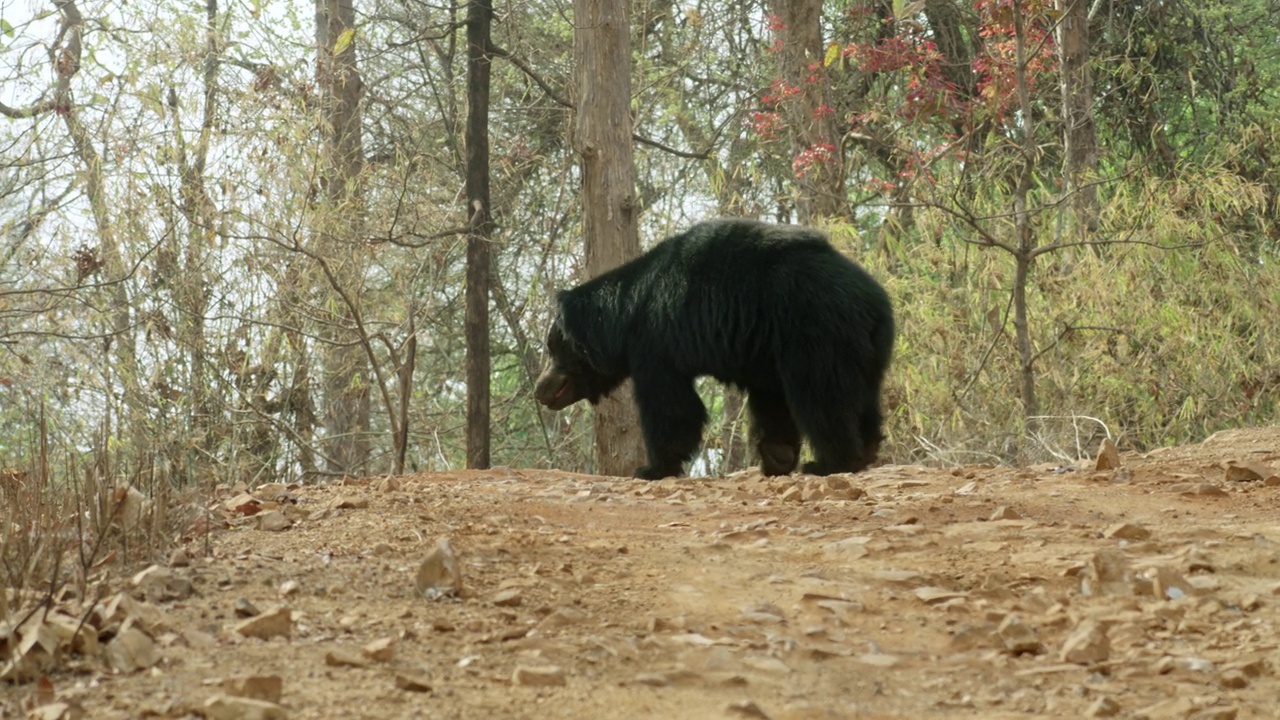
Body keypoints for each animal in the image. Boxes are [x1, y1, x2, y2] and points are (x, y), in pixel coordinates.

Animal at [535, 215, 896, 479]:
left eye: (553, 349)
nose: (540, 391)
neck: (625, 314)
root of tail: (872, 301)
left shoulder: (656, 341)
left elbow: (670, 405)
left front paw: (651, 469)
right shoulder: (763, 351)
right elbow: (771, 400)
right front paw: (777, 457)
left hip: (816, 331)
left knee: (820, 396)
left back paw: (831, 463)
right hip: (865, 347)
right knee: (863, 397)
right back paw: (866, 451)